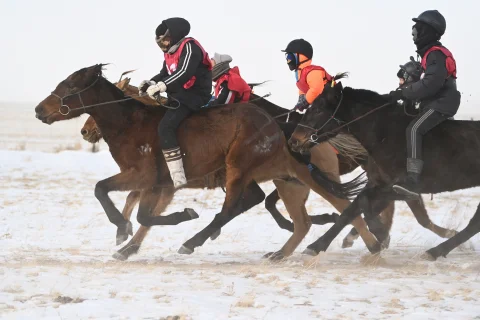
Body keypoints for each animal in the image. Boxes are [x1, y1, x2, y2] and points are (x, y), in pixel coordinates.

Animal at [286, 74, 466, 262]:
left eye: (319, 110)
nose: (293, 141)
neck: (385, 134)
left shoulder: (397, 185)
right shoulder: (381, 183)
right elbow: (353, 210)